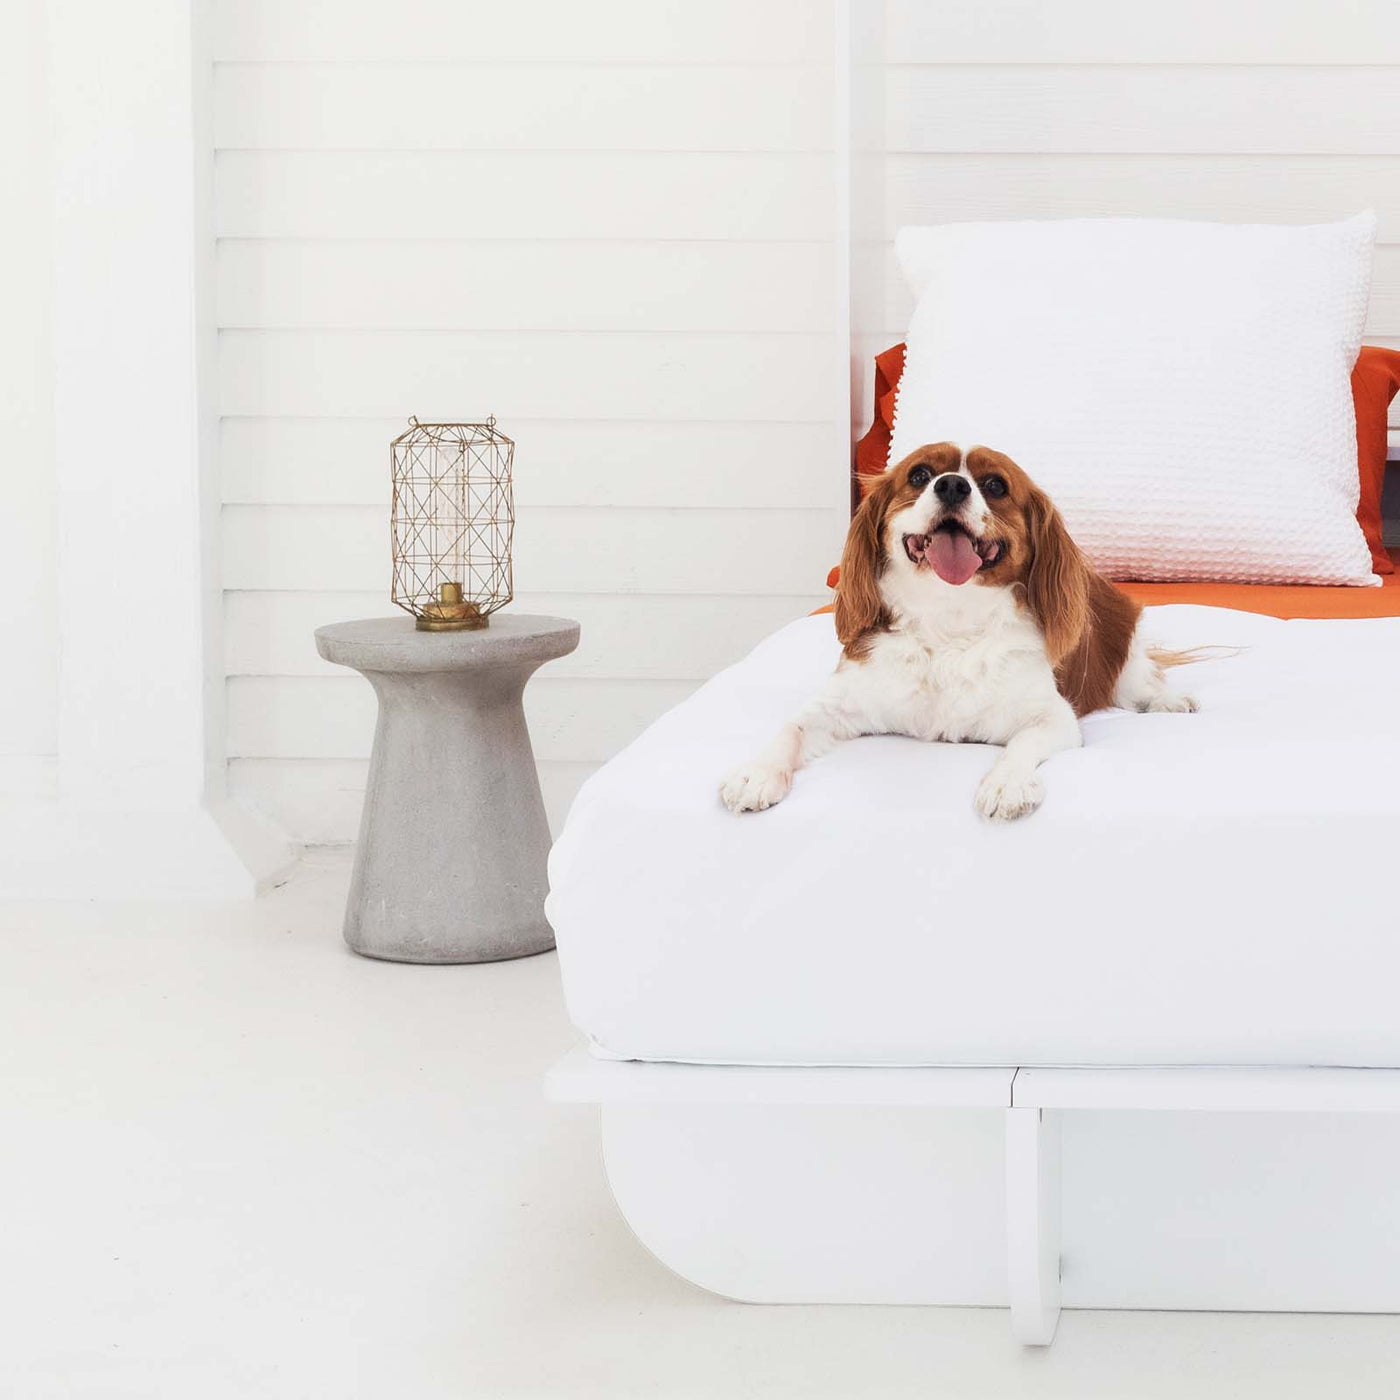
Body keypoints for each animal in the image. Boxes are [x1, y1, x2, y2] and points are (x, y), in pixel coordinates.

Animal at [722, 445, 1192, 817]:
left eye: (995, 485)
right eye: (919, 475)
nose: (951, 485)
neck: (948, 616)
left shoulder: (1054, 717)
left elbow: (1022, 745)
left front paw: (1007, 784)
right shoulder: (841, 703)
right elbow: (792, 728)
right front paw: (755, 773)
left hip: (1127, 652)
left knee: (1141, 682)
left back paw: (1171, 700)